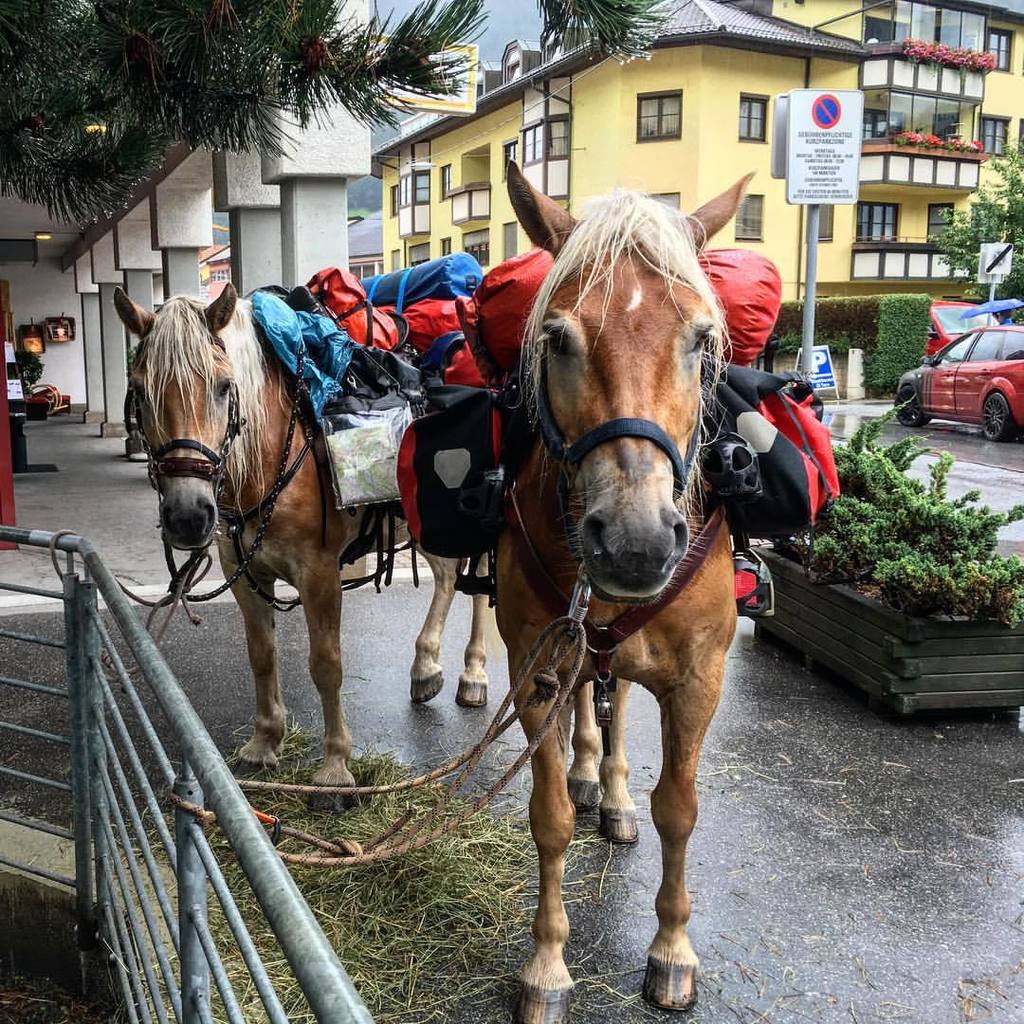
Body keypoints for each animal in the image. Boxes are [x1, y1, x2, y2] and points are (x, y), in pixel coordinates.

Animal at [112, 285, 492, 798]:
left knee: (480, 585)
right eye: (139, 392)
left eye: (223, 387)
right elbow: (261, 655)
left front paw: (334, 765)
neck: (272, 454)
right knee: (449, 576)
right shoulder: (244, 573)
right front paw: (264, 741)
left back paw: (474, 673)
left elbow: (326, 664)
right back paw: (426, 667)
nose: (188, 515)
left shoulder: (319, 574)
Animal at [498, 162, 751, 1023]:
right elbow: (547, 818)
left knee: (617, 710)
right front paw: (546, 961)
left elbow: (681, 808)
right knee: (592, 703)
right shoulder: (536, 671)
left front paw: (672, 948)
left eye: (701, 339)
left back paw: (610, 792)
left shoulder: (699, 679)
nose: (636, 541)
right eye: (558, 339)